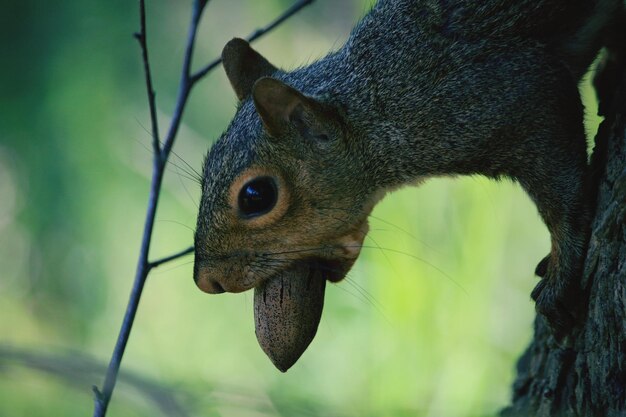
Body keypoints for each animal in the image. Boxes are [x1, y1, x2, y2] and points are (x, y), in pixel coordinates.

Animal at [193, 0, 620, 340]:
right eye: (206, 165)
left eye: (256, 196)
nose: (206, 281)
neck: (382, 102)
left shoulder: (518, 96)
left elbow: (564, 198)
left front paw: (560, 277)